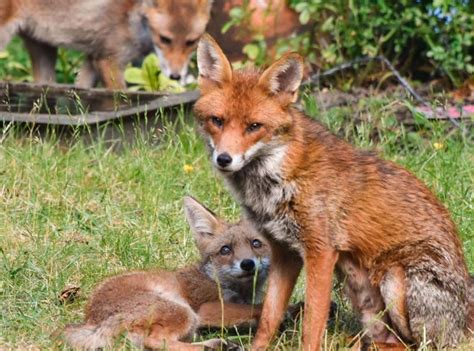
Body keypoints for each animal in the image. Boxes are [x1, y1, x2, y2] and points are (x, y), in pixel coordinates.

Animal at [0, 0, 211, 88]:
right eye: (165, 39)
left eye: (191, 42)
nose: (175, 76)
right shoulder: (109, 61)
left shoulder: (94, 58)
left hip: (43, 50)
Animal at [63, 197, 272, 350]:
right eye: (225, 250)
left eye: (256, 243)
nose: (247, 264)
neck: (215, 279)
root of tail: (91, 321)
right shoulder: (208, 307)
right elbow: (255, 308)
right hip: (184, 313)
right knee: (155, 343)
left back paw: (218, 344)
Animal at [193, 33, 474, 351]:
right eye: (217, 121)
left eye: (254, 126)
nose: (224, 159)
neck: (279, 175)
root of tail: (465, 321)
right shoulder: (283, 252)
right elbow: (268, 317)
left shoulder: (321, 251)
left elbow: (312, 325)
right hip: (362, 294)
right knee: (392, 342)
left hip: (395, 279)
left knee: (420, 344)